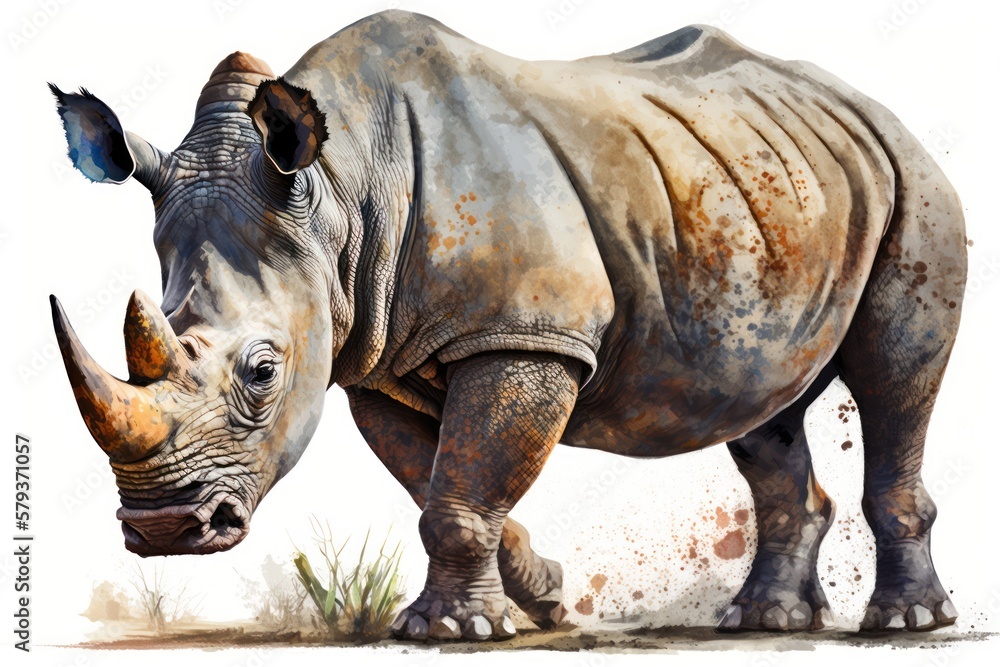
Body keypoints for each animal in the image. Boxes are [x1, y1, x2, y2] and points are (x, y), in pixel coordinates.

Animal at [49, 11, 966, 640]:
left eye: (262, 371)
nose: (164, 530)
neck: (340, 192)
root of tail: (867, 106)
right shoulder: (379, 358)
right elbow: (442, 479)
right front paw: (547, 598)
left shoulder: (522, 334)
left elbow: (462, 484)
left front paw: (447, 632)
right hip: (771, 190)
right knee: (761, 407)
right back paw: (763, 622)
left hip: (915, 182)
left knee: (897, 377)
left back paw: (905, 623)